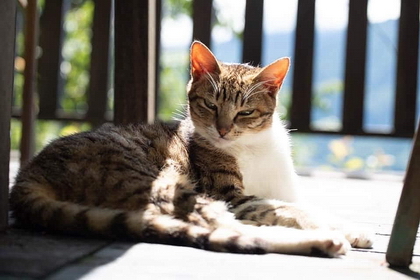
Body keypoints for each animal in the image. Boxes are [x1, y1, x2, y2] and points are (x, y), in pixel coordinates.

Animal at [9, 41, 370, 256]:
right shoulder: (231, 195)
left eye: (245, 112)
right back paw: (322, 242)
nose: (223, 130)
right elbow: (291, 210)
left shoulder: (284, 191)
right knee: (223, 227)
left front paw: (351, 228)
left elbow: (306, 207)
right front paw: (336, 229)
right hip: (165, 183)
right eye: (210, 106)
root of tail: (27, 174)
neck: (253, 147)